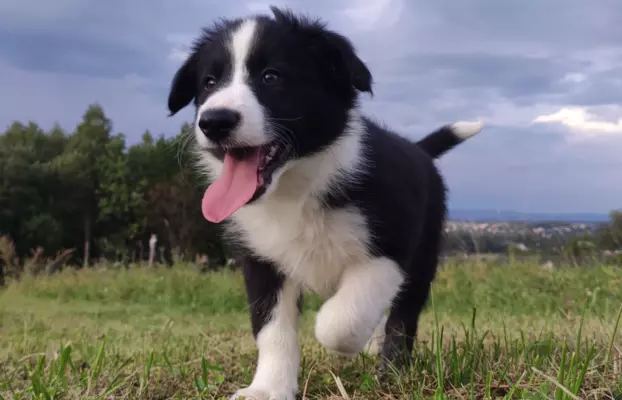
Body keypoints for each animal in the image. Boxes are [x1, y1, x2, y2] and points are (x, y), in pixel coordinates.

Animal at [168, 7, 486, 400]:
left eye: (271, 76)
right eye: (210, 82)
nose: (214, 121)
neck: (297, 186)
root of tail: (419, 150)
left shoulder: (391, 246)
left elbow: (339, 322)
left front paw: (350, 338)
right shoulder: (262, 259)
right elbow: (272, 330)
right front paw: (268, 388)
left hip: (425, 251)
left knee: (404, 316)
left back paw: (392, 369)